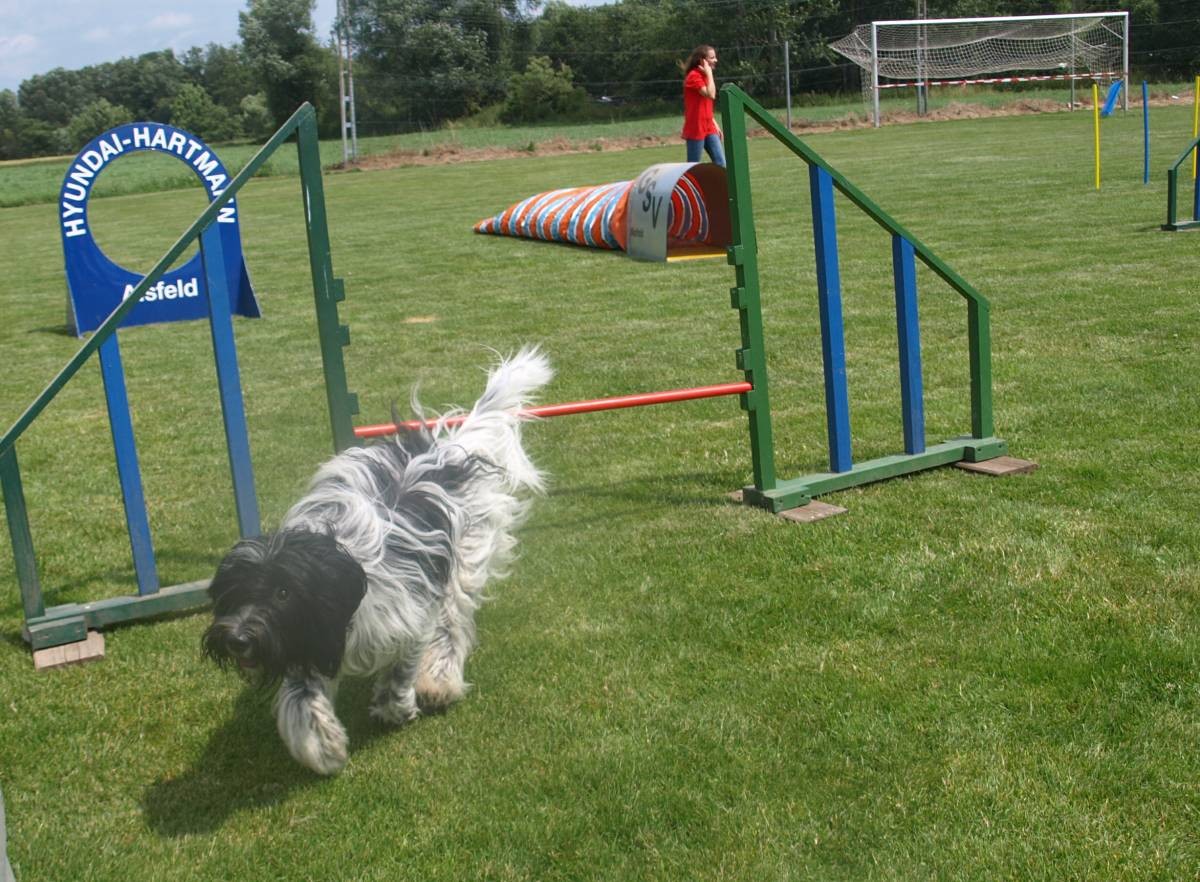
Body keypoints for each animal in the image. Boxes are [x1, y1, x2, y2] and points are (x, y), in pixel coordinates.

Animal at [202, 348, 552, 777]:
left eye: (283, 592)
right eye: (235, 593)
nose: (237, 638)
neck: (344, 564)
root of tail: (444, 453)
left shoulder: (410, 617)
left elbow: (403, 669)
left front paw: (395, 708)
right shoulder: (305, 638)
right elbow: (302, 699)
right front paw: (322, 746)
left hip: (465, 560)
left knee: (452, 623)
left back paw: (438, 680)